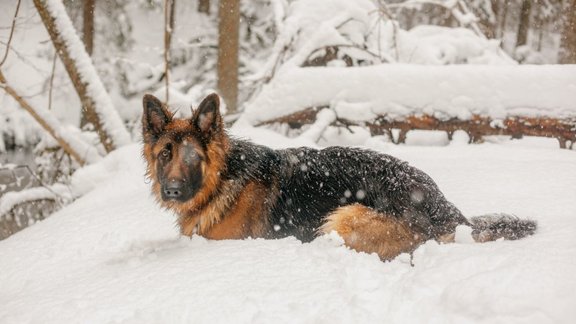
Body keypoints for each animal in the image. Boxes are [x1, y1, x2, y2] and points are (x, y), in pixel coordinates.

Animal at [142, 93, 536, 260]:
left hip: (343, 218)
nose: (172, 190)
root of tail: (446, 210)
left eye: (193, 158)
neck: (223, 179)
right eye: (166, 154)